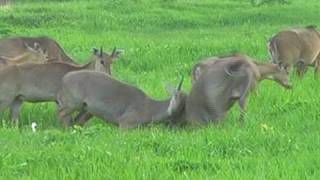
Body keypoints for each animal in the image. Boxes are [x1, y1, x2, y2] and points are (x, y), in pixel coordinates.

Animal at [57, 71, 185, 129]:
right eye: (175, 96)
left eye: (183, 104)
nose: (172, 112)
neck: (150, 108)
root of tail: (63, 79)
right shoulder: (124, 123)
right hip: (73, 103)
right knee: (61, 112)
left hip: (84, 107)